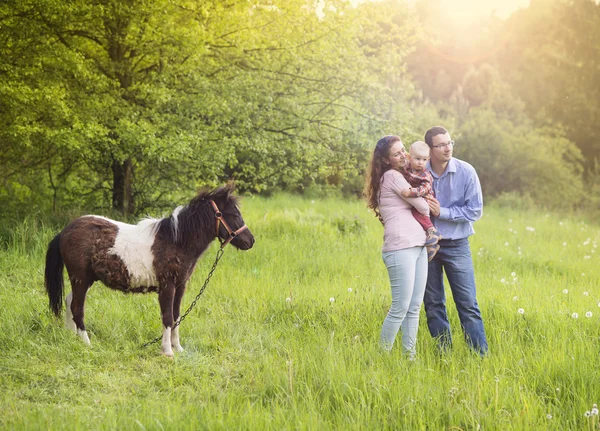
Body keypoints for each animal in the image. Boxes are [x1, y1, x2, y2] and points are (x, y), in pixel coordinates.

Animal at [44, 184, 254, 356]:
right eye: (234, 215)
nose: (250, 241)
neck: (176, 240)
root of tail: (64, 231)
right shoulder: (167, 286)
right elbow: (167, 317)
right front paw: (167, 351)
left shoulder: (180, 286)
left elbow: (177, 316)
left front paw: (178, 348)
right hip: (80, 278)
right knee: (77, 308)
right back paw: (87, 343)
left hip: (84, 280)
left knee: (70, 301)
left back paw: (72, 337)